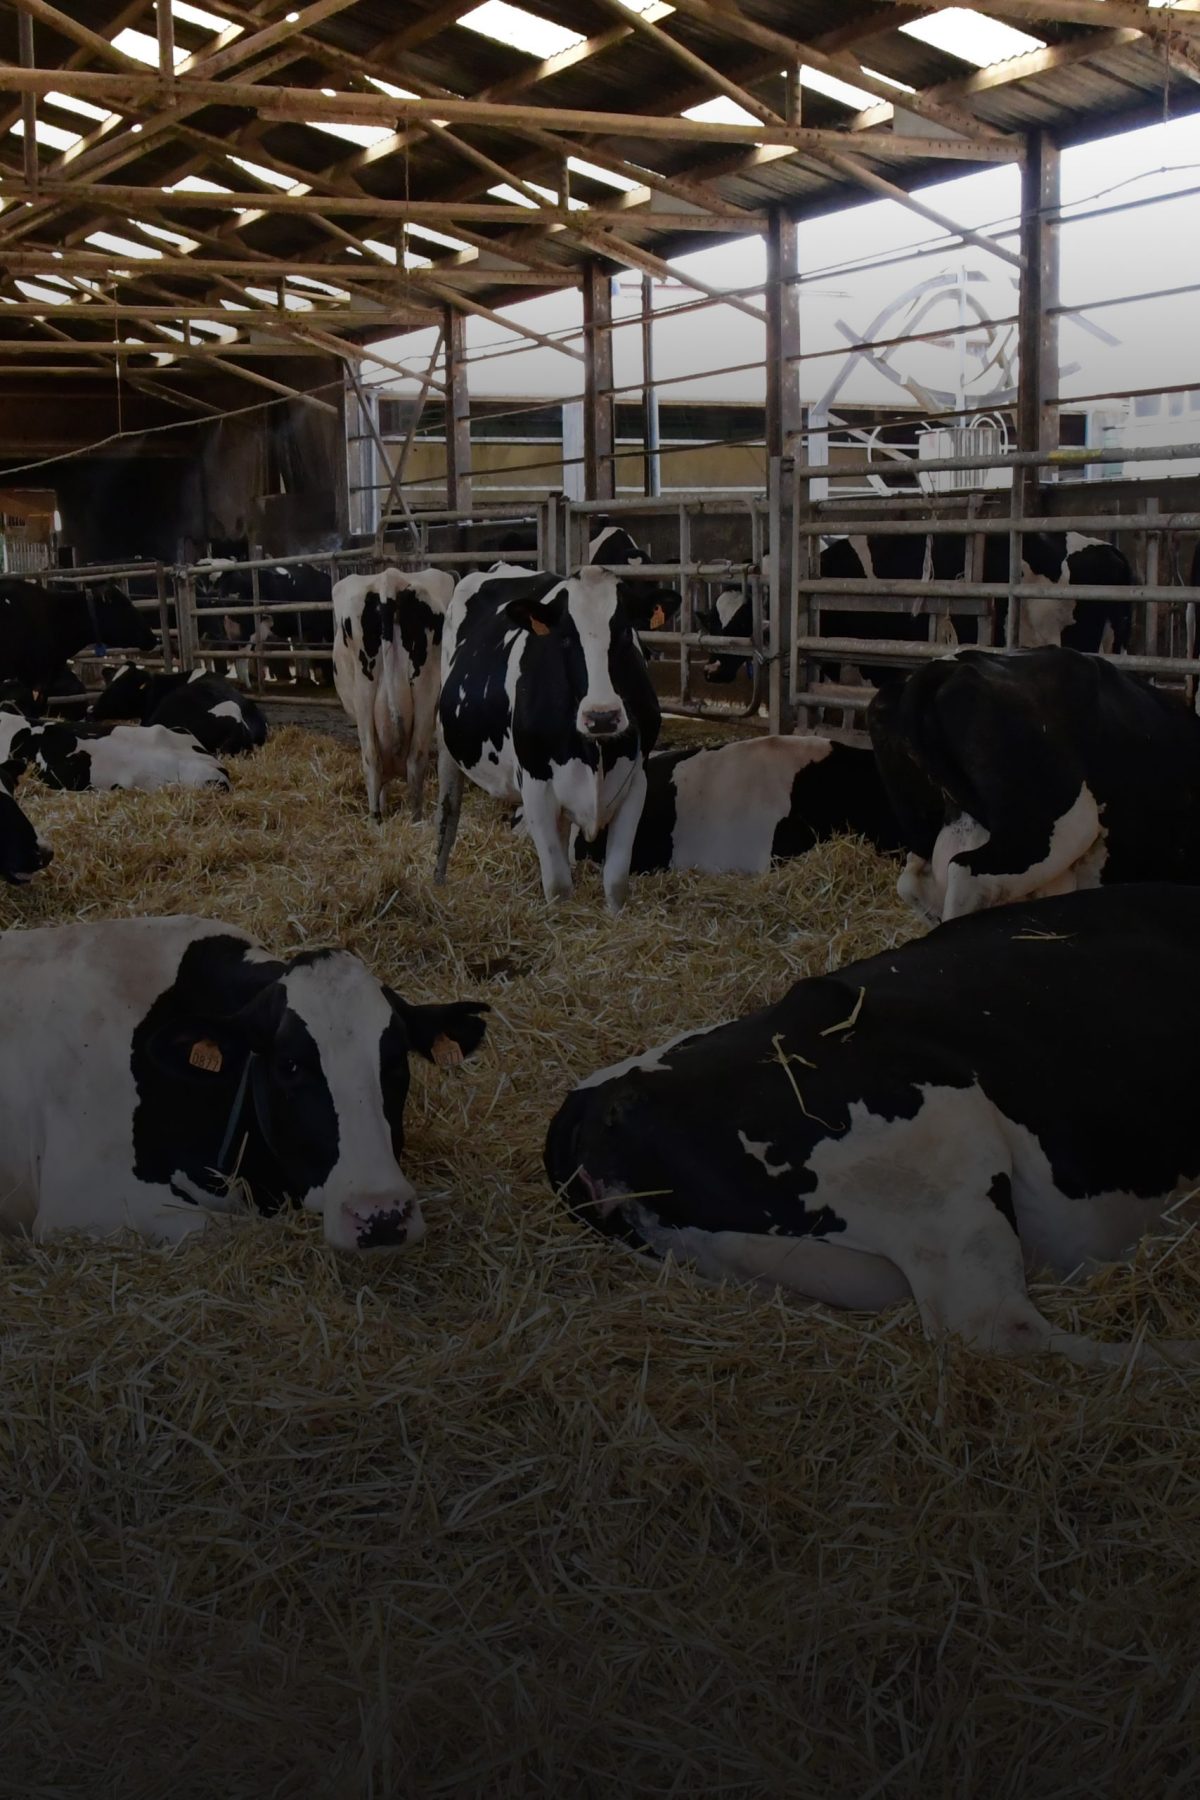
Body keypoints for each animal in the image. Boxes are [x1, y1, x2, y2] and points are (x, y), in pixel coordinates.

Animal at [332, 567, 454, 820]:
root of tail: (390, 579)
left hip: (364, 694)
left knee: (372, 758)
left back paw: (377, 819)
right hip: (425, 694)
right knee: (414, 758)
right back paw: (414, 820)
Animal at [434, 563, 661, 911]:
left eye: (625, 632)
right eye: (565, 638)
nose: (602, 716)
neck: (595, 750)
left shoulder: (635, 782)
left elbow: (616, 882)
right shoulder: (536, 785)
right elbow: (557, 885)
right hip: (446, 743)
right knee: (448, 814)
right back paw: (438, 882)